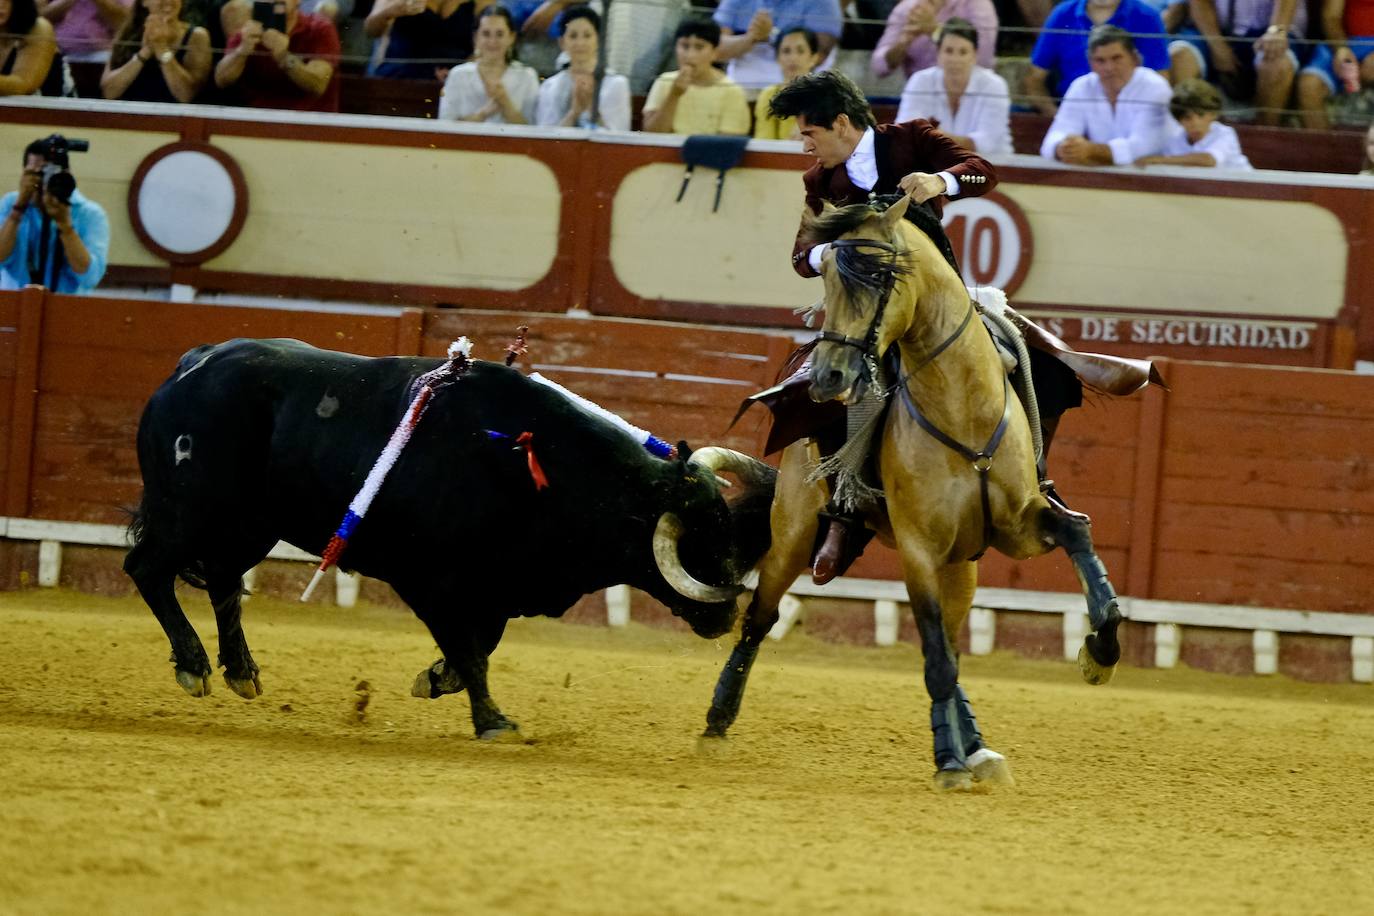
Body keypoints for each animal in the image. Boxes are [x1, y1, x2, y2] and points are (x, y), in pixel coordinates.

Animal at [123, 340, 780, 741]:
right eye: (697, 537)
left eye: (728, 527)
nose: (727, 614)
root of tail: (191, 365)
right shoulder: (428, 582)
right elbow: (469, 649)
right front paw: (492, 721)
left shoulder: (494, 589)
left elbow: (477, 647)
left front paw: (437, 681)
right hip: (190, 512)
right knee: (147, 568)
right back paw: (194, 666)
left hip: (250, 525)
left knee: (223, 581)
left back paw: (240, 671)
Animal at [703, 195, 1121, 796]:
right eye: (825, 275)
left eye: (881, 280)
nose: (829, 377)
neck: (963, 408)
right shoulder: (919, 548)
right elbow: (934, 656)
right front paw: (947, 761)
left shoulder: (1019, 524)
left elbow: (1077, 531)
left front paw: (1101, 652)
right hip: (795, 535)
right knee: (761, 617)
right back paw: (717, 720)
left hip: (964, 564)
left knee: (949, 639)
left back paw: (978, 748)